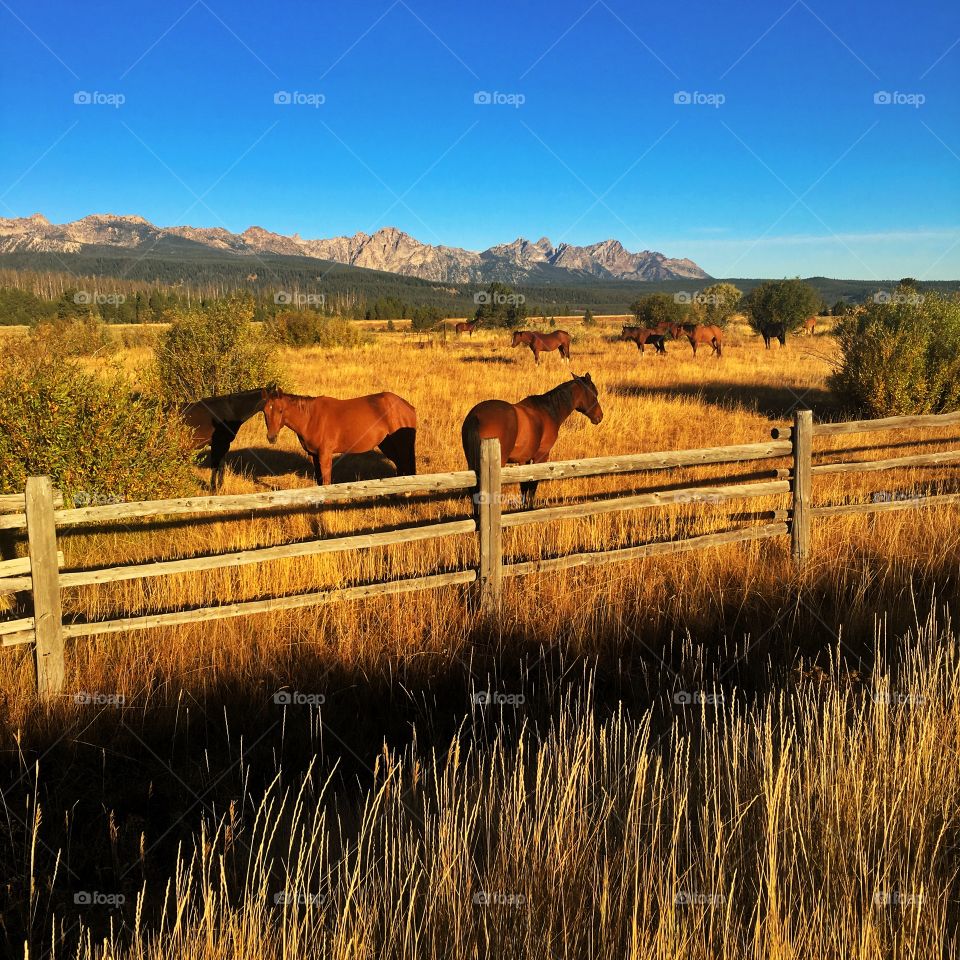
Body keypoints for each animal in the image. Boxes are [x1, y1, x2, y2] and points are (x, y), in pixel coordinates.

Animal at [262, 388, 417, 486]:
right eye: (264, 411)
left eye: (280, 410)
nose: (271, 437)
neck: (311, 418)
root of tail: (407, 406)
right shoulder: (314, 455)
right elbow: (319, 482)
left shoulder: (325, 455)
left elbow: (326, 482)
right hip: (387, 445)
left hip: (401, 446)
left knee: (405, 467)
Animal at [461, 373, 603, 508]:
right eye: (595, 394)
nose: (600, 416)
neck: (547, 411)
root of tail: (476, 416)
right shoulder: (540, 457)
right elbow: (533, 485)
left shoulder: (524, 460)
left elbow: (524, 486)